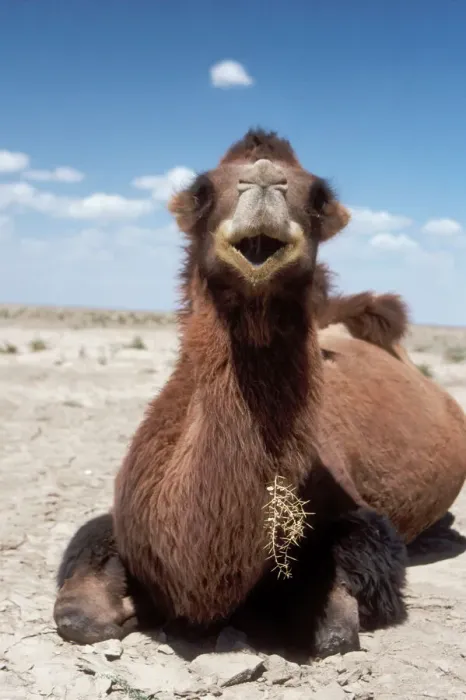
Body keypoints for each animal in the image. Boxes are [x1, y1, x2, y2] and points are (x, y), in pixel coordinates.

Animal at [53, 129, 466, 659]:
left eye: (319, 196)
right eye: (201, 190)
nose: (266, 179)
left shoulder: (360, 521)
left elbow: (336, 626)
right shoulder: (125, 519)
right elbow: (79, 614)